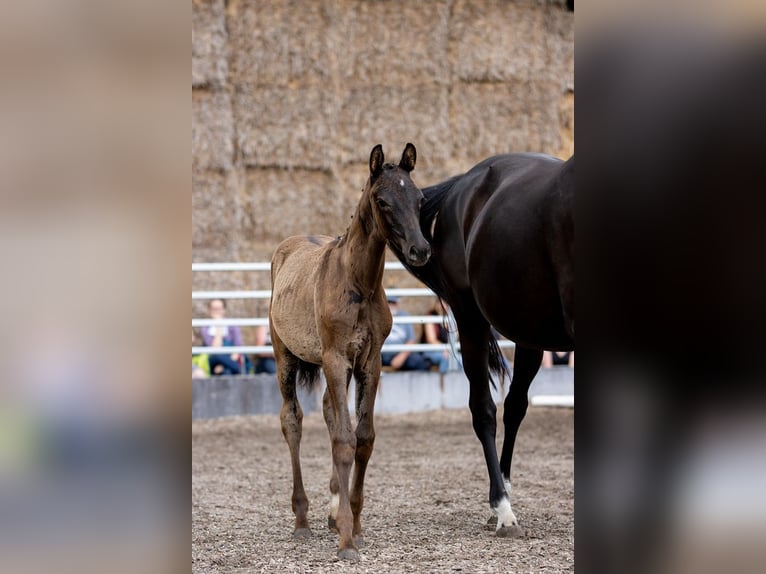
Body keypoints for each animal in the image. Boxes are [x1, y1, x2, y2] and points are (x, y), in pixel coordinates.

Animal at [270, 144, 432, 564]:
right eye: (382, 200)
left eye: (420, 199)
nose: (420, 250)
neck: (358, 281)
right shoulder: (334, 358)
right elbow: (343, 440)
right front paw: (345, 539)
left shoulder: (370, 362)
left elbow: (364, 437)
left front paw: (354, 525)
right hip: (284, 356)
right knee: (292, 419)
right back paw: (303, 520)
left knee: (328, 411)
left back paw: (328, 513)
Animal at [392, 152, 572, 536]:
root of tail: (464, 182)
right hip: (470, 319)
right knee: (484, 411)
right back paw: (502, 507)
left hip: (528, 334)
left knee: (515, 406)